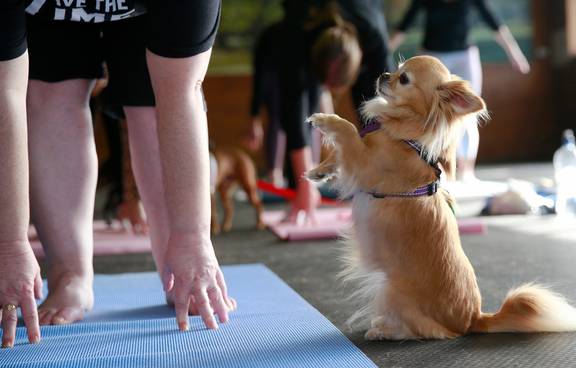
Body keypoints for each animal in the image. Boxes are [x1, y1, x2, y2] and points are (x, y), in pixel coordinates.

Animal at [308, 55, 576, 342]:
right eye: (397, 69)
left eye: (404, 79)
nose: (384, 75)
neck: (405, 137)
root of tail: (474, 319)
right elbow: (341, 151)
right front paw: (319, 170)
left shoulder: (364, 165)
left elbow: (348, 130)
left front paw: (325, 120)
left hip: (391, 289)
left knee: (422, 330)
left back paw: (385, 330)